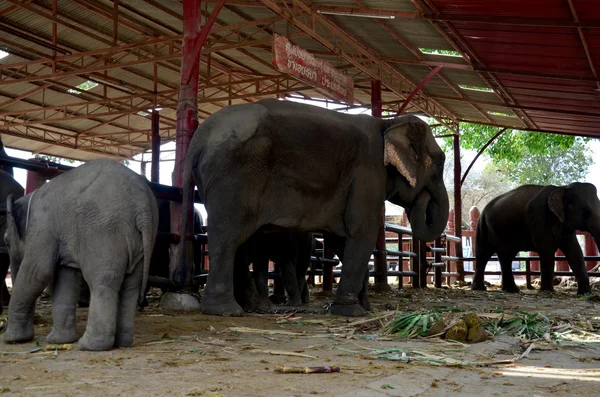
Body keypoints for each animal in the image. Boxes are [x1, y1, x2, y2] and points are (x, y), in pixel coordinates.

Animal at [3, 158, 158, 350]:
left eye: (6, 242)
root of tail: (143, 209)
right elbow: (65, 278)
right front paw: (57, 341)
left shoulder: (42, 228)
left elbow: (38, 272)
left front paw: (13, 340)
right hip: (141, 241)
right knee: (131, 286)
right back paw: (123, 343)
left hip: (104, 232)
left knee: (102, 281)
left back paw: (90, 346)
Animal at [178, 98, 450, 316]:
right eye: (440, 163)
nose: (424, 198)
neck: (388, 123)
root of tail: (200, 136)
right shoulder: (368, 172)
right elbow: (362, 231)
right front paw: (351, 312)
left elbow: (342, 238)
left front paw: (364, 306)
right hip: (233, 176)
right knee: (228, 240)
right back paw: (226, 311)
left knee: (237, 244)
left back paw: (254, 307)